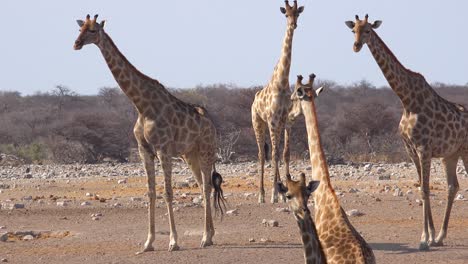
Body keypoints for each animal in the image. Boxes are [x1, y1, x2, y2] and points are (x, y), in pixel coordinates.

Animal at [74, 14, 226, 254]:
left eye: (93, 30)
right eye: (80, 29)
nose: (76, 44)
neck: (142, 106)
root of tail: (211, 123)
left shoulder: (163, 149)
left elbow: (168, 192)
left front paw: (173, 242)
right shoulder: (143, 150)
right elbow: (150, 193)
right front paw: (148, 243)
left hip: (206, 151)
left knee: (207, 186)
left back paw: (205, 237)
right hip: (190, 155)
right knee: (204, 186)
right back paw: (208, 237)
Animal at [250, 0, 306, 203]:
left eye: (297, 13)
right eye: (286, 14)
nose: (293, 24)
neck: (281, 82)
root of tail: (254, 100)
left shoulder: (282, 120)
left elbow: (282, 153)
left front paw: (281, 192)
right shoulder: (273, 120)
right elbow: (273, 154)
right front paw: (274, 194)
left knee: (272, 152)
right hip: (258, 122)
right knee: (261, 154)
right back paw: (261, 195)